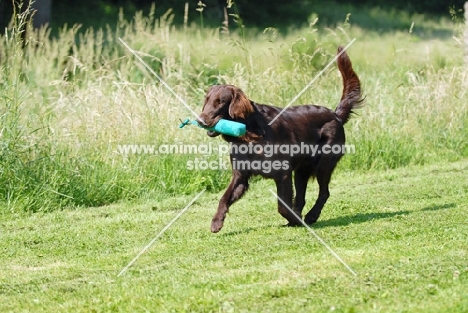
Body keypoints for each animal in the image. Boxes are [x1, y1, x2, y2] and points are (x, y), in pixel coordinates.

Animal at [197, 46, 362, 232]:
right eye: (207, 100)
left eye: (221, 101)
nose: (200, 120)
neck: (249, 135)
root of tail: (335, 115)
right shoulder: (241, 175)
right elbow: (224, 197)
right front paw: (216, 222)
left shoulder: (283, 173)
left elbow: (282, 206)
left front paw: (297, 220)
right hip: (301, 171)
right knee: (302, 197)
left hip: (323, 164)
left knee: (324, 192)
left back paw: (311, 216)